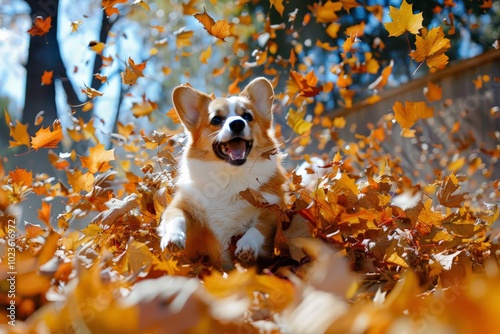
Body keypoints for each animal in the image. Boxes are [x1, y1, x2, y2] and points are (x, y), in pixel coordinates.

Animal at [158, 77, 288, 268]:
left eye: (247, 116)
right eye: (216, 119)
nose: (237, 123)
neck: (230, 175)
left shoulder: (274, 207)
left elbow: (261, 226)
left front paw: (247, 244)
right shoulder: (183, 206)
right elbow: (175, 216)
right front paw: (173, 237)